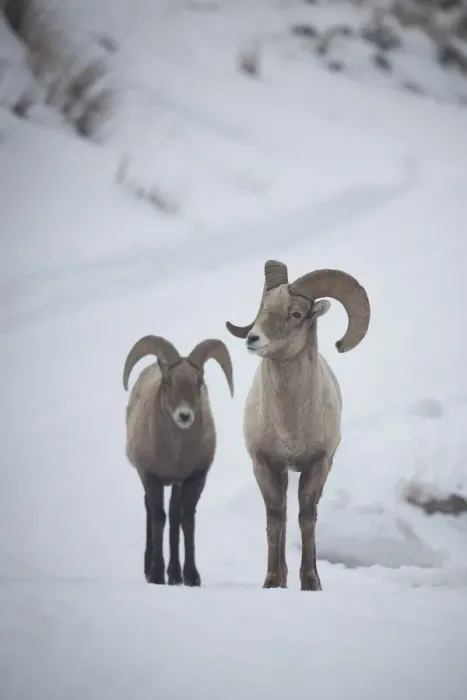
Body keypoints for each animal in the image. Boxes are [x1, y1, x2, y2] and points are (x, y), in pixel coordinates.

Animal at [123, 335, 234, 586]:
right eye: (168, 380)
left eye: (199, 380)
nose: (184, 416)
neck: (175, 455)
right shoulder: (151, 477)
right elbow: (158, 518)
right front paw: (155, 575)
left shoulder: (194, 479)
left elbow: (185, 520)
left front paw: (192, 577)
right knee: (152, 510)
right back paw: (150, 569)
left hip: (175, 484)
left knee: (174, 517)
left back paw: (174, 575)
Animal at [226, 259, 370, 591]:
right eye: (263, 307)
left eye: (296, 314)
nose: (253, 339)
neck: (289, 426)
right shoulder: (265, 465)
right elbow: (275, 517)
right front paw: (272, 582)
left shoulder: (318, 465)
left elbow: (307, 517)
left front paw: (311, 583)